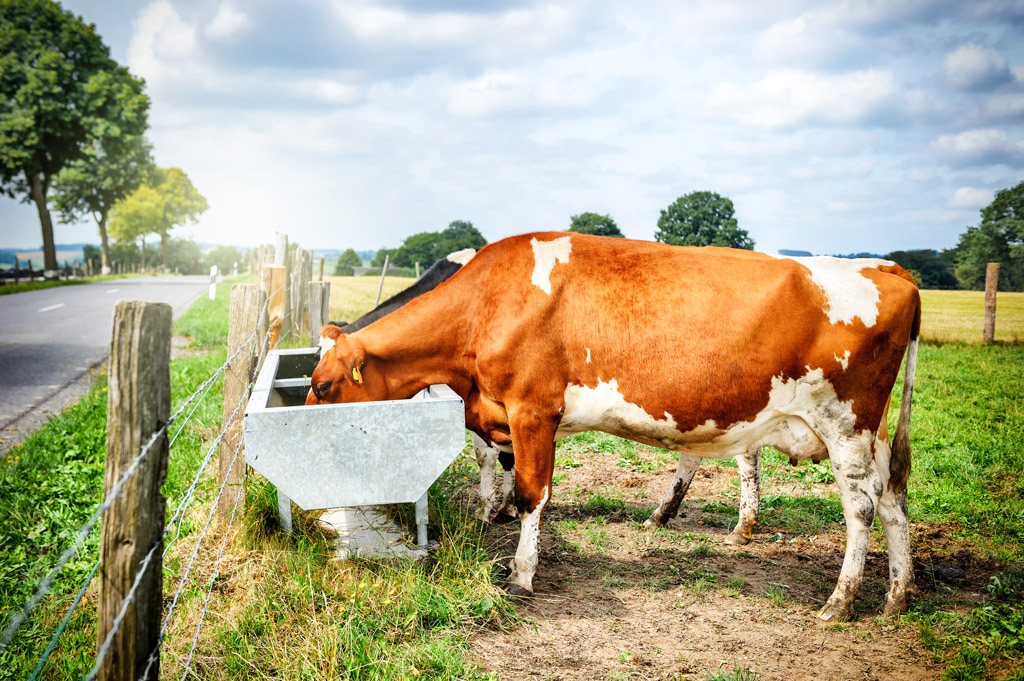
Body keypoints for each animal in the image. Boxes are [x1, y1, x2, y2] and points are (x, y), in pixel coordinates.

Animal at [307, 231, 925, 618]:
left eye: (325, 384)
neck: (485, 303)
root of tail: (885, 266)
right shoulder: (503, 414)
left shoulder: (532, 410)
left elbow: (531, 492)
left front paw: (521, 571)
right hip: (866, 436)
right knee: (893, 500)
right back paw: (897, 596)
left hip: (844, 424)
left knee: (861, 507)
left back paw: (839, 602)